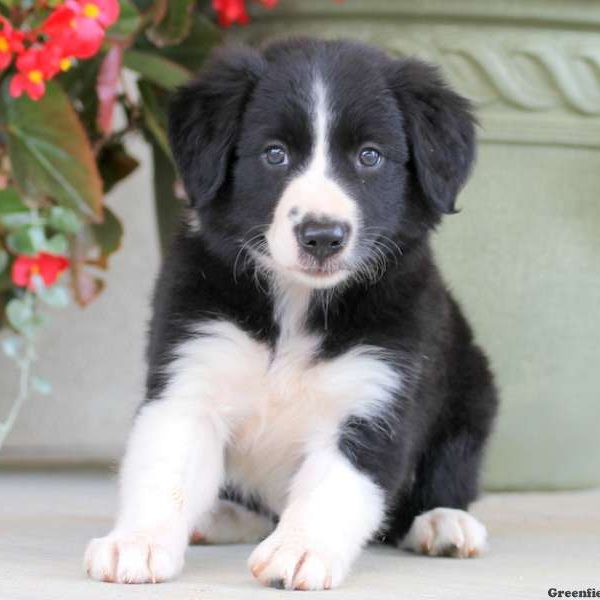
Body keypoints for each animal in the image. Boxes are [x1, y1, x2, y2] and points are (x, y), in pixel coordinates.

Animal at [84, 38, 496, 592]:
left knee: (445, 475)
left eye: (370, 156)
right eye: (274, 154)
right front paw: (138, 542)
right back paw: (221, 517)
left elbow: (334, 486)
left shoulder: (377, 397)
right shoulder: (191, 372)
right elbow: (164, 469)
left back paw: (443, 521)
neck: (298, 304)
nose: (322, 236)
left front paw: (300, 551)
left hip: (471, 392)